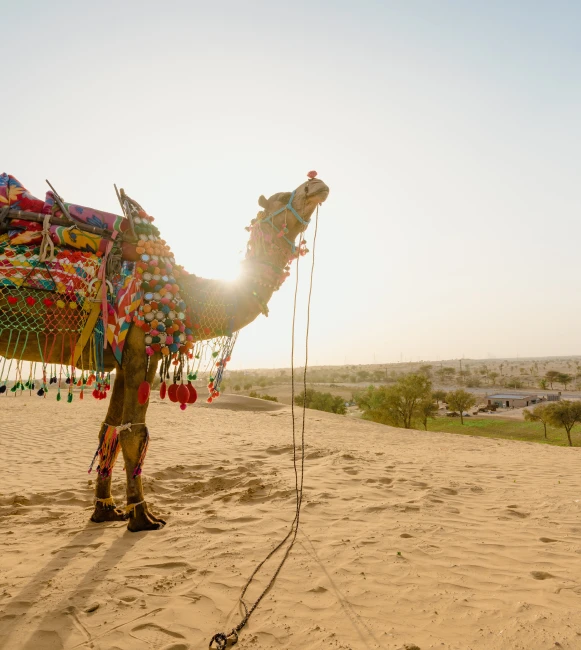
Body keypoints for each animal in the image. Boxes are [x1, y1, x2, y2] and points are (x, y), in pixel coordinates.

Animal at [0, 171, 326, 528]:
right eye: (281, 197)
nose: (316, 184)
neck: (186, 292)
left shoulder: (121, 357)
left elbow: (108, 430)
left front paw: (105, 510)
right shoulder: (139, 348)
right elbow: (134, 433)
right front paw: (142, 517)